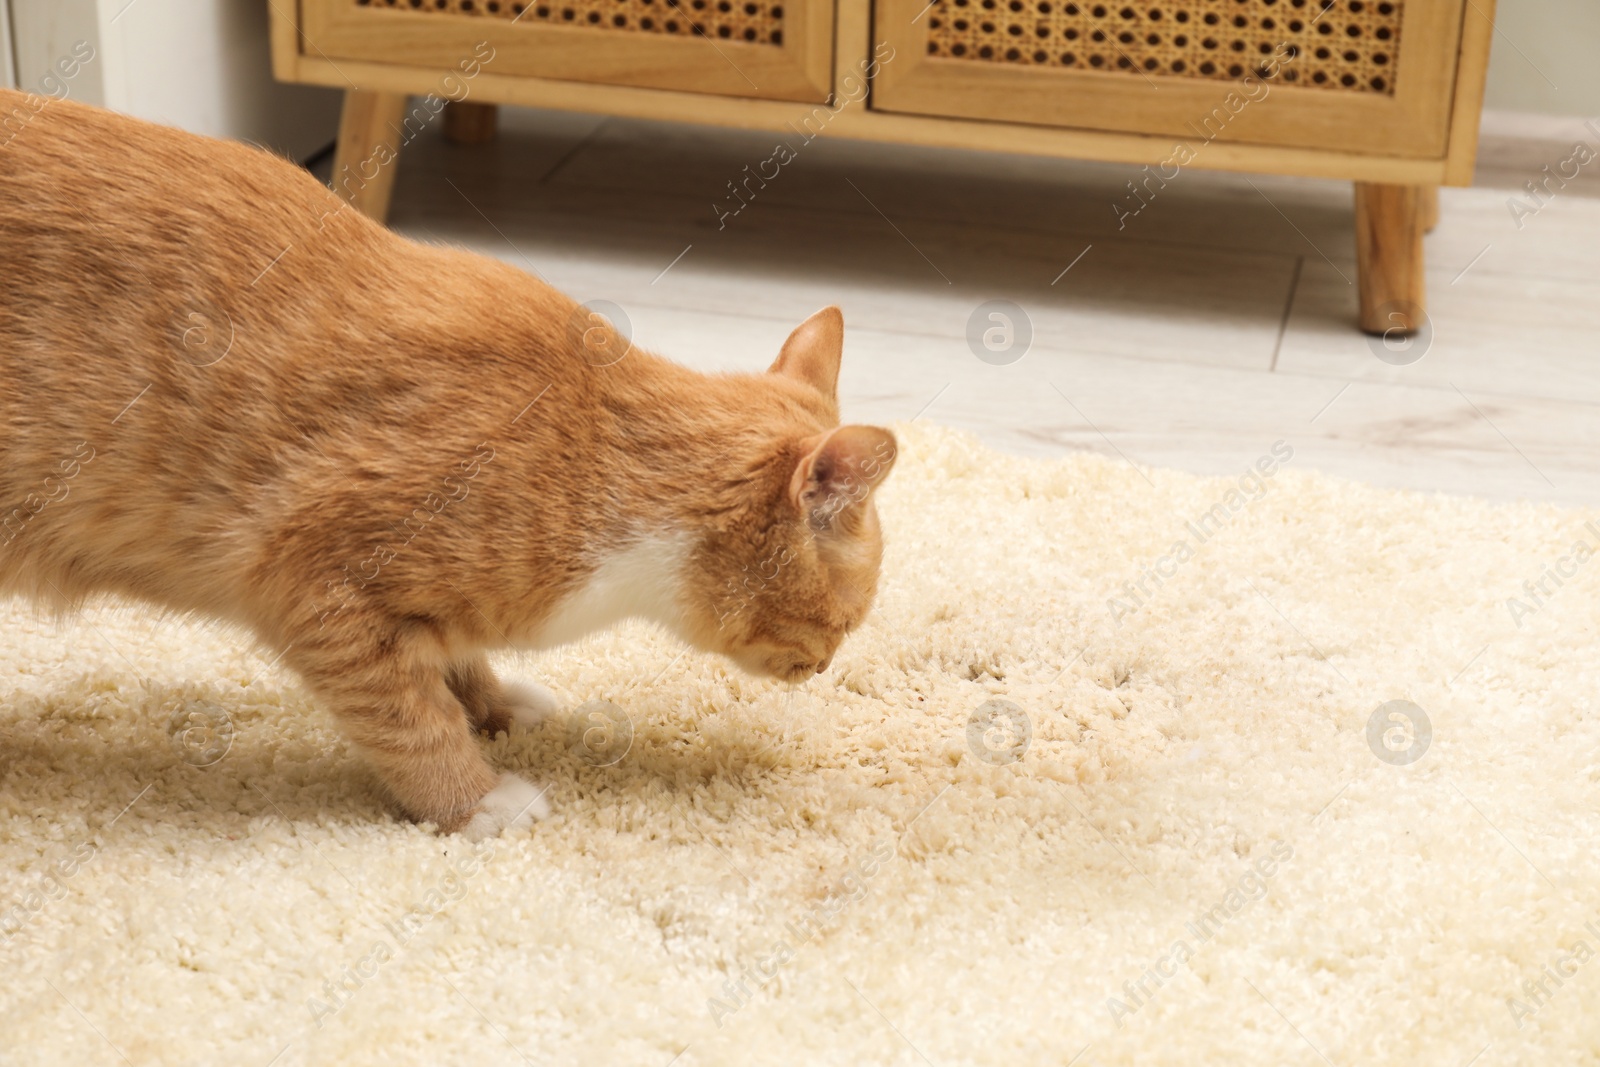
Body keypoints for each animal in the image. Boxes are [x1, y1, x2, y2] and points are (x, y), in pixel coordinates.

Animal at [0, 91, 902, 838]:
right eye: (846, 622)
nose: (824, 667)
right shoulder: (315, 583)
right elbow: (409, 715)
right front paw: (474, 797)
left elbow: (448, 663)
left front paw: (494, 704)